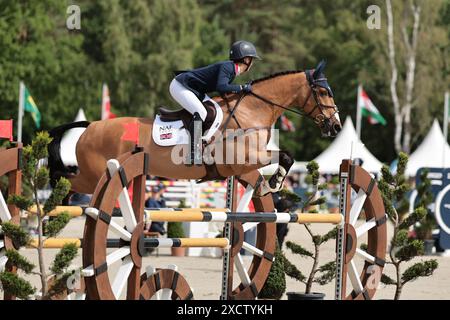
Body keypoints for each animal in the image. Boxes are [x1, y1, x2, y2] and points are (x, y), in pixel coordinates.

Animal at [47, 60, 342, 195]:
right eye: (322, 92)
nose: (336, 126)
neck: (251, 110)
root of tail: (91, 126)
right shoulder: (242, 158)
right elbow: (286, 156)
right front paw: (275, 183)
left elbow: (285, 157)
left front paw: (272, 183)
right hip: (95, 175)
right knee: (63, 180)